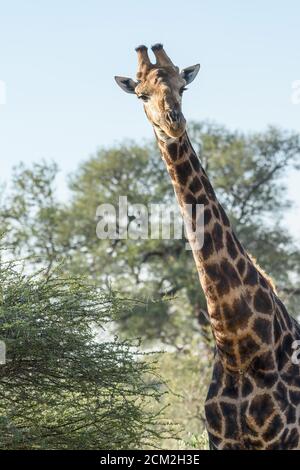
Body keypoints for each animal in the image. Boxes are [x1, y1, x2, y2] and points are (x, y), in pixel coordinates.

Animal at [114, 45, 300, 452]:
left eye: (183, 87)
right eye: (141, 95)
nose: (174, 121)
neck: (239, 348)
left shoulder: (283, 439)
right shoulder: (223, 442)